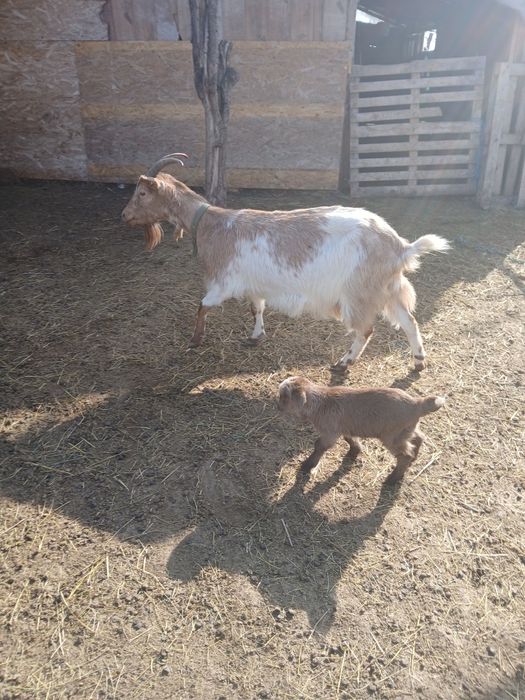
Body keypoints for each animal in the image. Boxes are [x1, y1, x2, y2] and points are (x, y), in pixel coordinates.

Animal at [121, 153, 450, 370]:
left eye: (142, 192)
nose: (124, 215)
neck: (209, 224)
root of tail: (400, 246)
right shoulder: (253, 284)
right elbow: (256, 308)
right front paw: (256, 336)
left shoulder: (222, 283)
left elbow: (202, 306)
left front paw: (195, 340)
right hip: (388, 288)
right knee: (409, 321)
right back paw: (418, 361)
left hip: (360, 293)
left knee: (365, 330)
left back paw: (344, 363)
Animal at [278, 376, 445, 484]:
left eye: (285, 397)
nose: (277, 406)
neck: (321, 403)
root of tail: (417, 404)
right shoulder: (345, 427)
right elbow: (350, 439)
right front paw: (355, 451)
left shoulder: (330, 432)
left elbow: (319, 446)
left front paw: (307, 466)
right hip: (406, 430)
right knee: (418, 438)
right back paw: (414, 458)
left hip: (392, 436)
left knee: (405, 455)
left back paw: (392, 479)